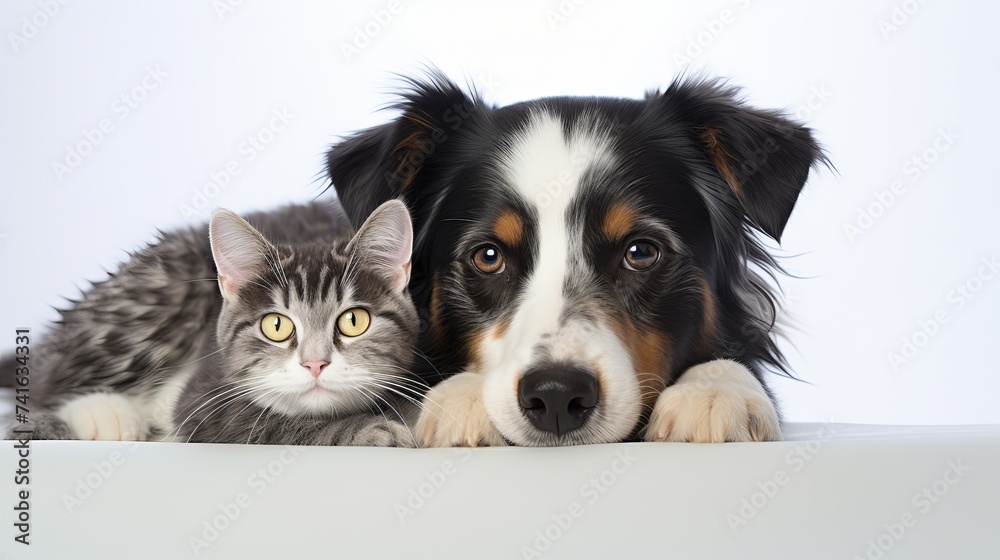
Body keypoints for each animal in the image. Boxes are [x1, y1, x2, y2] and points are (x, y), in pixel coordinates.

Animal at [0, 200, 422, 446]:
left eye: (353, 321)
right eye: (276, 326)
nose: (315, 363)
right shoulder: (205, 392)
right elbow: (262, 422)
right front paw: (371, 429)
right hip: (155, 291)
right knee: (43, 382)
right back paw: (103, 414)